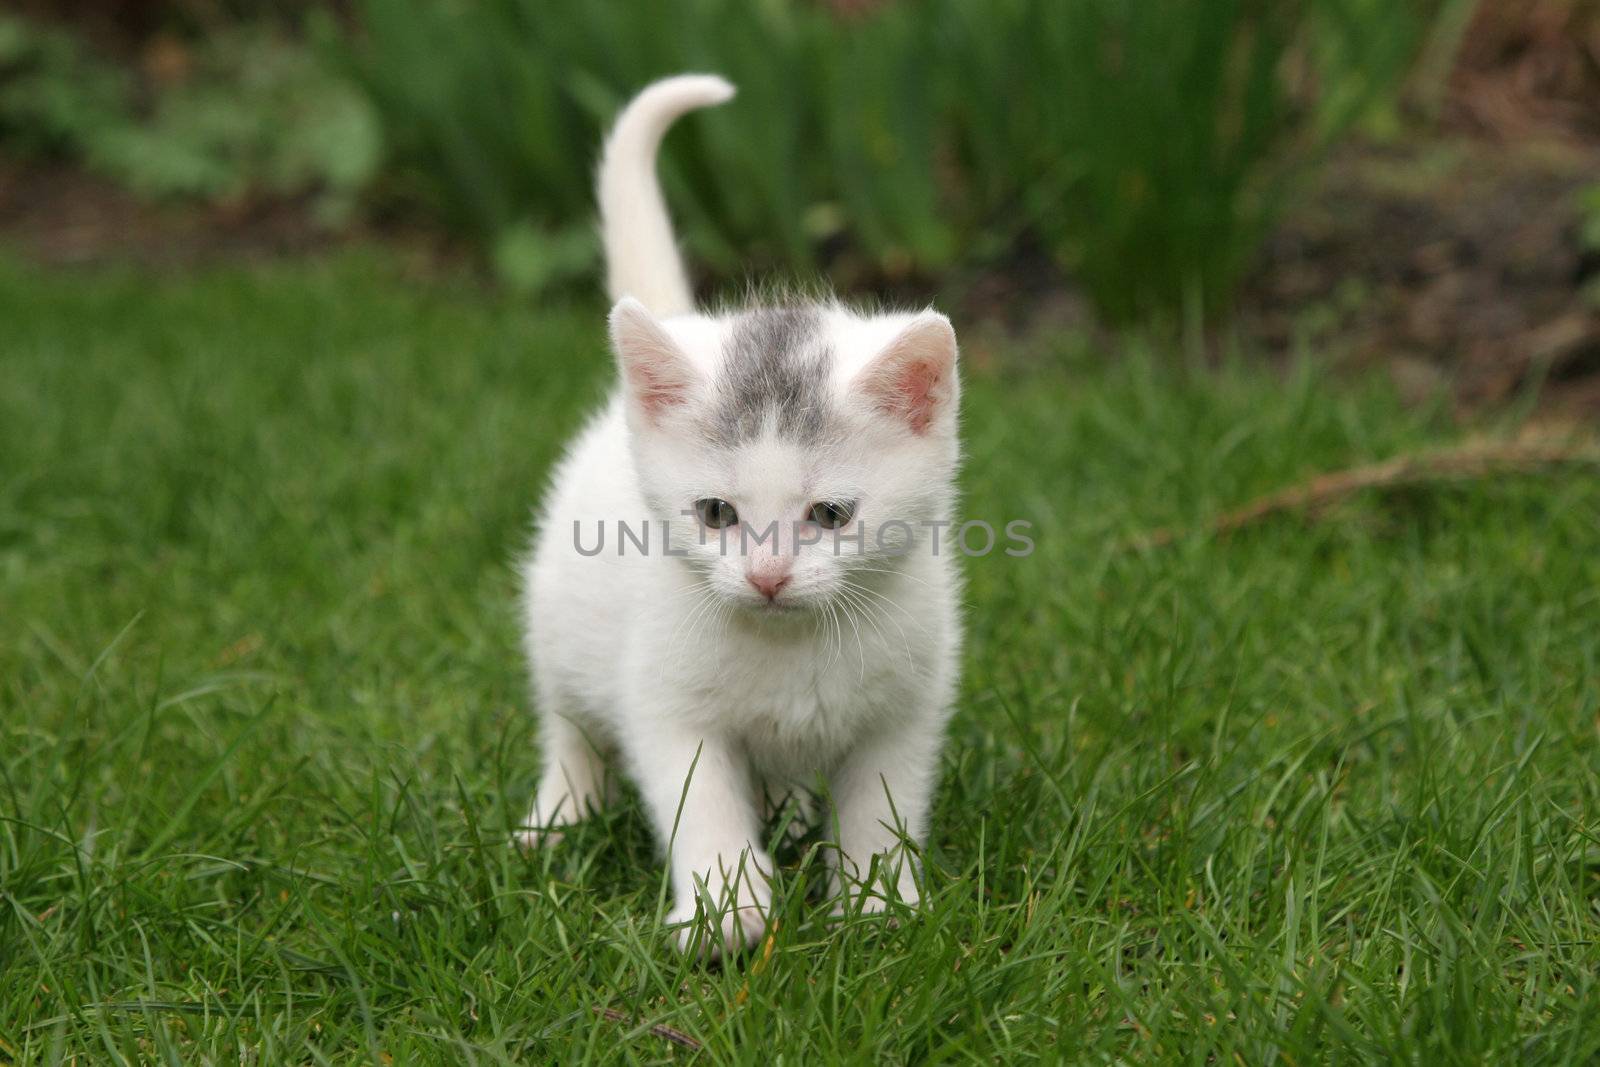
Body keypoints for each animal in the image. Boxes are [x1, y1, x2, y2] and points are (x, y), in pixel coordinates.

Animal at [518, 75, 960, 959]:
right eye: (716, 512)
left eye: (830, 513)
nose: (766, 574)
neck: (790, 646)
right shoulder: (666, 703)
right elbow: (701, 803)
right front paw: (728, 909)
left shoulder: (907, 707)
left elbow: (883, 807)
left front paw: (877, 906)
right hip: (558, 625)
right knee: (569, 726)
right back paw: (560, 817)